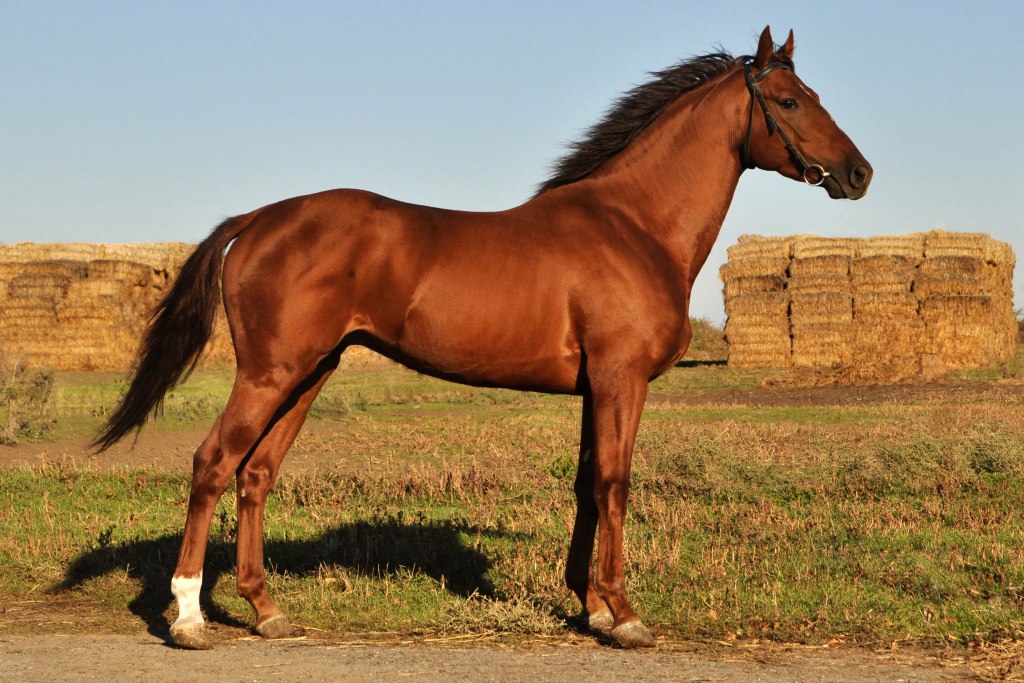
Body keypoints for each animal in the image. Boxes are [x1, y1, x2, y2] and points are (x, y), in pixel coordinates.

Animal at [94, 24, 872, 651]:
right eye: (791, 101)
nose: (858, 174)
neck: (634, 224)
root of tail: (258, 218)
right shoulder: (620, 380)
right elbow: (615, 484)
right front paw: (624, 616)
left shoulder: (594, 389)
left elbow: (587, 486)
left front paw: (590, 607)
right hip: (269, 373)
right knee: (212, 463)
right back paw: (189, 618)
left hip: (309, 373)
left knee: (255, 474)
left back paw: (267, 612)